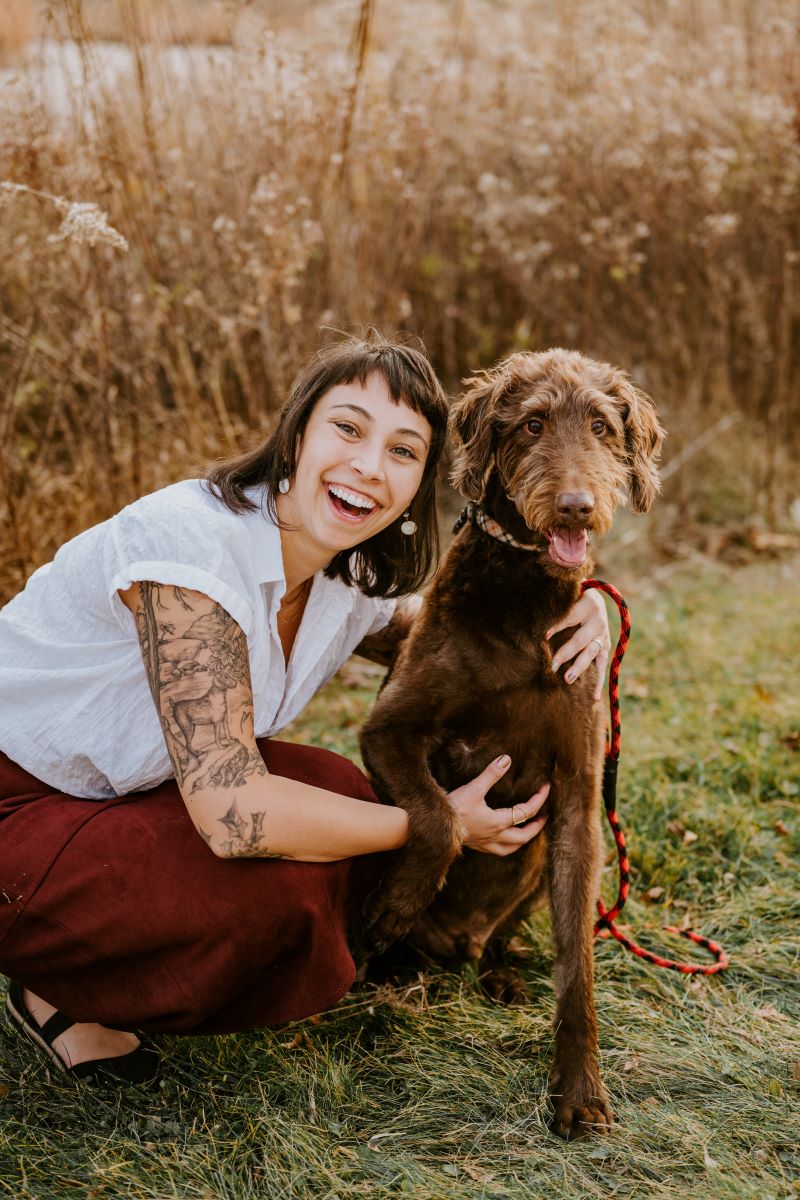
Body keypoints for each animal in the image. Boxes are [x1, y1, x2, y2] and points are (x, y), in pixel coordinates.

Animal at [359, 350, 666, 1142]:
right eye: (531, 424)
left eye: (601, 425)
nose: (576, 506)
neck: (524, 597)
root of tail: (456, 950)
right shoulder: (388, 731)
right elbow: (438, 818)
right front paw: (399, 901)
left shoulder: (581, 797)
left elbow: (578, 965)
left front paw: (579, 1089)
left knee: (509, 936)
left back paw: (498, 971)